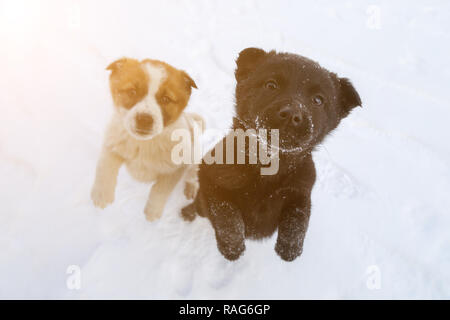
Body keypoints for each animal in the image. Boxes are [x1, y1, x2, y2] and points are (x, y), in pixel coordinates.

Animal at [91, 57, 204, 221]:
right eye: (132, 91)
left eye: (165, 99)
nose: (144, 119)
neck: (144, 144)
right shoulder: (112, 144)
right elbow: (105, 167)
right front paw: (102, 195)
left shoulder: (176, 167)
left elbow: (160, 189)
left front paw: (152, 212)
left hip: (195, 156)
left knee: (193, 173)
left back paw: (191, 187)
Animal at [181, 48, 360, 262]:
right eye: (271, 85)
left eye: (318, 100)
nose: (292, 114)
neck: (269, 162)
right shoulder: (210, 178)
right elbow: (225, 212)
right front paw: (232, 247)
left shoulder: (302, 189)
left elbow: (299, 216)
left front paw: (290, 248)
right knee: (198, 206)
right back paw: (187, 212)